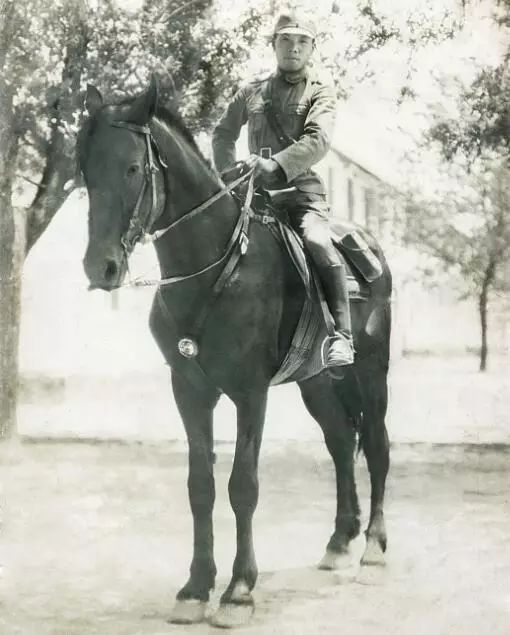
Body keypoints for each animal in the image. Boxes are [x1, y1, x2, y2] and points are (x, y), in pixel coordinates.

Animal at [78, 78, 390, 628]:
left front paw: (239, 590)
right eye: (86, 172)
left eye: (133, 168)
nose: (102, 267)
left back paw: (373, 545)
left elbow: (243, 484)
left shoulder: (250, 392)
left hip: (372, 373)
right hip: (316, 381)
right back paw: (339, 541)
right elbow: (200, 484)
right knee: (339, 441)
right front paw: (195, 588)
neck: (218, 266)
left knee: (374, 444)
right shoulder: (189, 389)